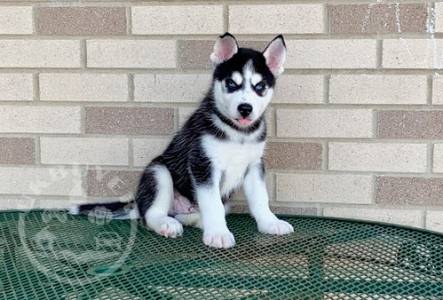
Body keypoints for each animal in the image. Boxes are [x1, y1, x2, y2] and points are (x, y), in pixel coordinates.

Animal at [75, 32, 294, 248]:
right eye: (231, 84)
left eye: (260, 87)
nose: (245, 108)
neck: (238, 133)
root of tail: (138, 203)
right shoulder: (202, 164)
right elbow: (212, 203)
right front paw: (218, 233)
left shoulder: (254, 165)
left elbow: (260, 198)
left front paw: (270, 222)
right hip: (158, 172)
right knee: (152, 215)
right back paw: (167, 224)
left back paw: (199, 221)